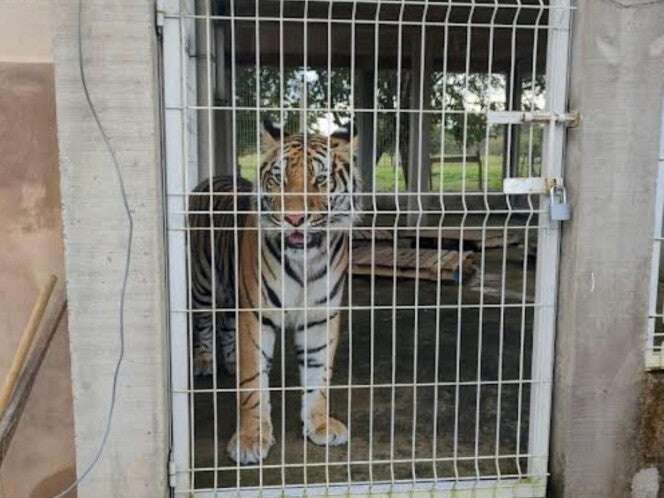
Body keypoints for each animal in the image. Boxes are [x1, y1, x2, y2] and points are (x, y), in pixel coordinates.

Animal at [187, 118, 364, 464]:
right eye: (279, 179)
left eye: (320, 179)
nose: (294, 218)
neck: (305, 262)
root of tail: (214, 177)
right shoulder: (256, 315)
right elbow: (253, 381)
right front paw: (251, 438)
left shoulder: (320, 316)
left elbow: (318, 373)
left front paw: (319, 424)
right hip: (204, 282)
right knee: (204, 324)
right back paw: (204, 362)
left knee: (226, 326)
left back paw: (230, 361)